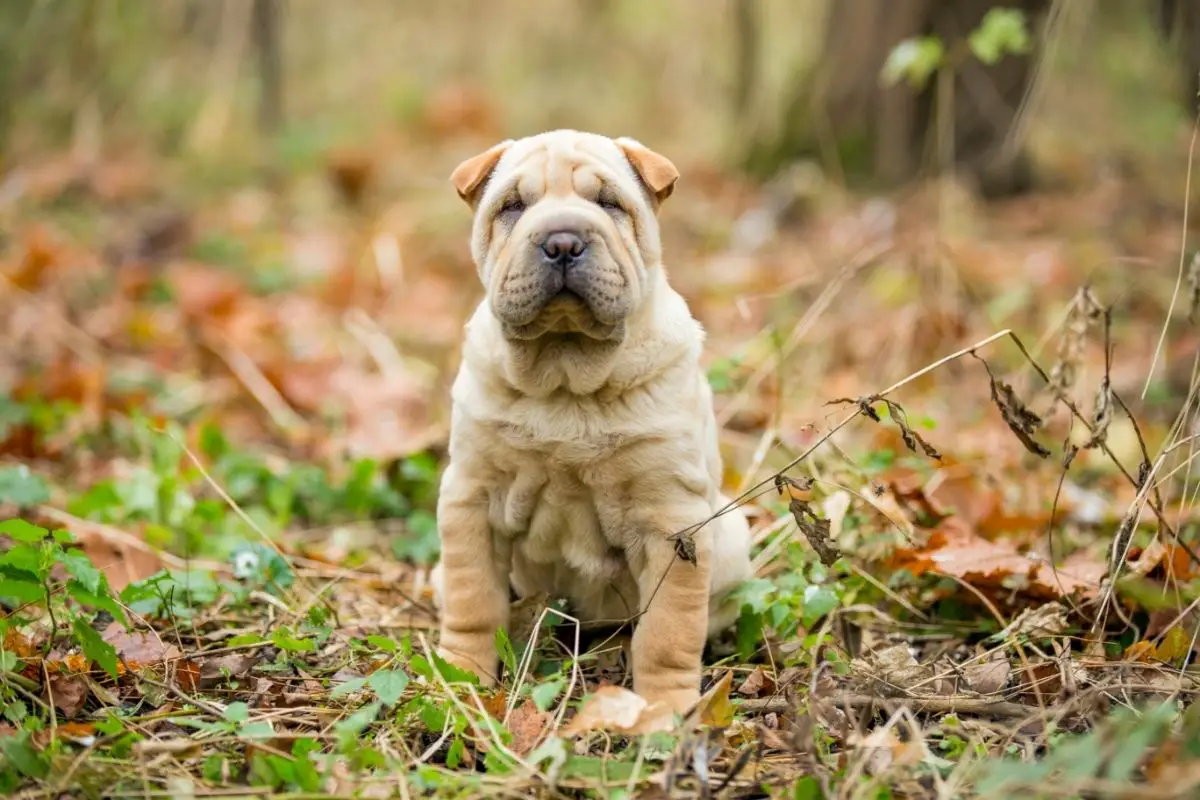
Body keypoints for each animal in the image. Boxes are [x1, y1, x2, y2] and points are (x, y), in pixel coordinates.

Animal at [432, 131, 748, 714]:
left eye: (609, 204)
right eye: (512, 206)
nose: (562, 242)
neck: (565, 377)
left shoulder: (672, 518)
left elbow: (670, 629)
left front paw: (666, 708)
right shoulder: (471, 496)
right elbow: (473, 601)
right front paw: (460, 677)